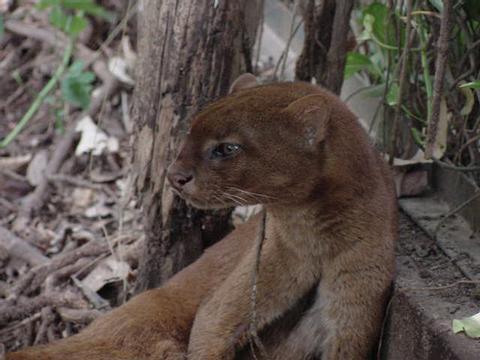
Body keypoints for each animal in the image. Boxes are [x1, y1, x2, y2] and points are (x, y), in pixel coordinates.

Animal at [6, 74, 398, 358]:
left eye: (227, 148)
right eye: (191, 131)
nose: (173, 175)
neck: (313, 234)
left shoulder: (350, 321)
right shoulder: (220, 313)